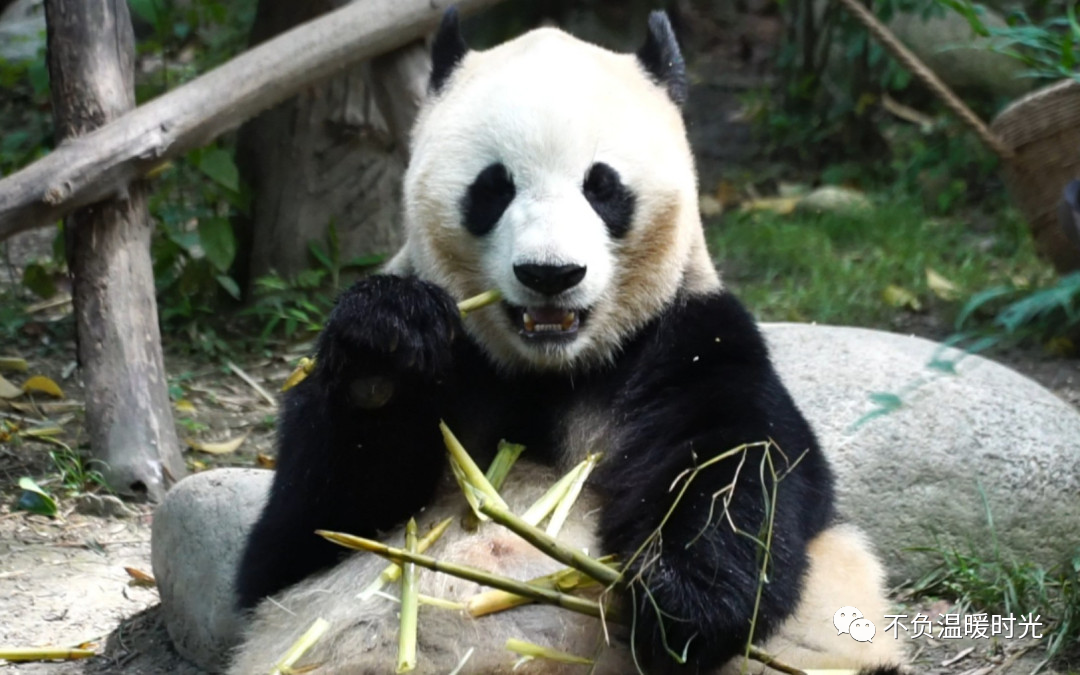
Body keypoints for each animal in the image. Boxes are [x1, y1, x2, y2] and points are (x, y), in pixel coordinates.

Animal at [232, 10, 907, 673]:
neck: (549, 372)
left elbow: (740, 463)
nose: (549, 274)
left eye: (602, 186)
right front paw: (386, 344)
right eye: (494, 186)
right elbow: (301, 535)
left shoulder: (686, 338)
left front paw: (680, 602)